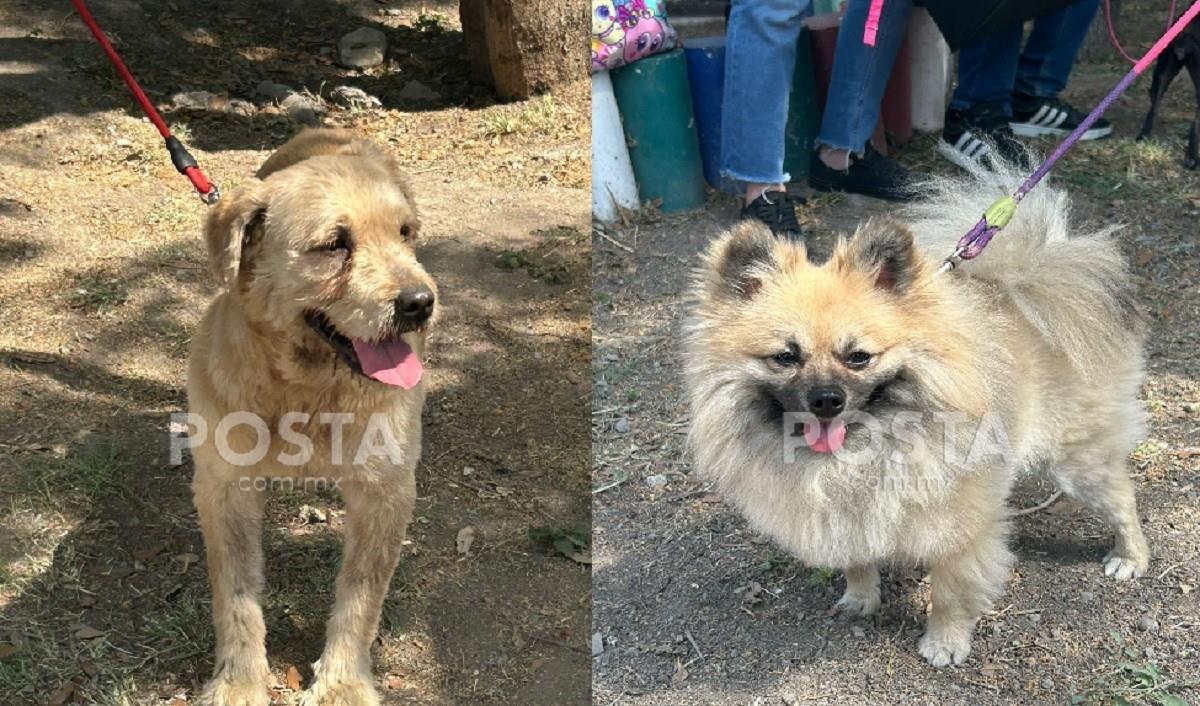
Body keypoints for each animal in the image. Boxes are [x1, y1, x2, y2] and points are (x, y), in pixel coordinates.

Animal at [184, 129, 434, 701]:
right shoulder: (224, 488)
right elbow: (236, 597)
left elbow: (360, 598)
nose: (420, 303)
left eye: (405, 233)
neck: (306, 390)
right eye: (334, 244)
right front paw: (239, 681)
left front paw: (342, 684)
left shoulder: (384, 493)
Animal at [681, 164, 1147, 667]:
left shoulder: (961, 527)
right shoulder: (846, 515)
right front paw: (860, 598)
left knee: (1122, 499)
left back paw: (1131, 557)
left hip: (1078, 463)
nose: (827, 399)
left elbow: (950, 593)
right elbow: (857, 561)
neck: (859, 452)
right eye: (786, 357)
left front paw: (944, 641)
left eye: (859, 357)